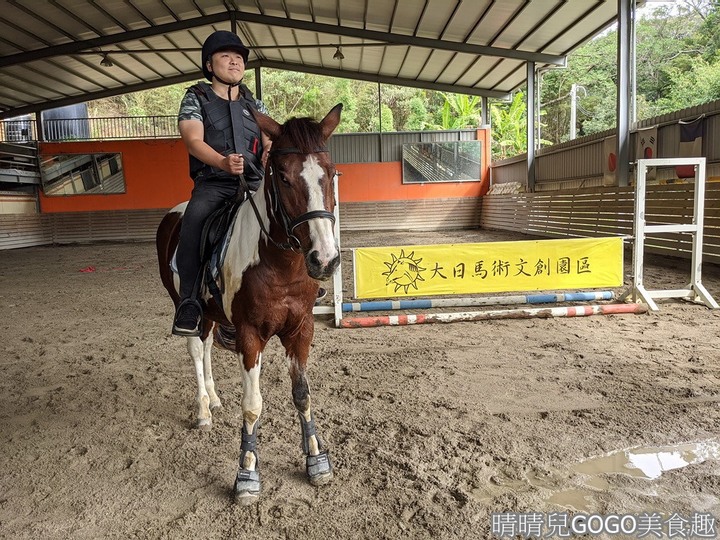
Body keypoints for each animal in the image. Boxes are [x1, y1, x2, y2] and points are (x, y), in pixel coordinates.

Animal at [156, 105, 342, 506]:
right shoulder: (249, 335)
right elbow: (253, 404)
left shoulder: (301, 329)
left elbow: (302, 395)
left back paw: (213, 399)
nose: (325, 259)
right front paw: (247, 473)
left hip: (211, 314)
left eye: (331, 172)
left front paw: (316, 460)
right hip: (186, 306)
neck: (279, 263)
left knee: (208, 345)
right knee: (196, 349)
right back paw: (202, 410)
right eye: (284, 177)